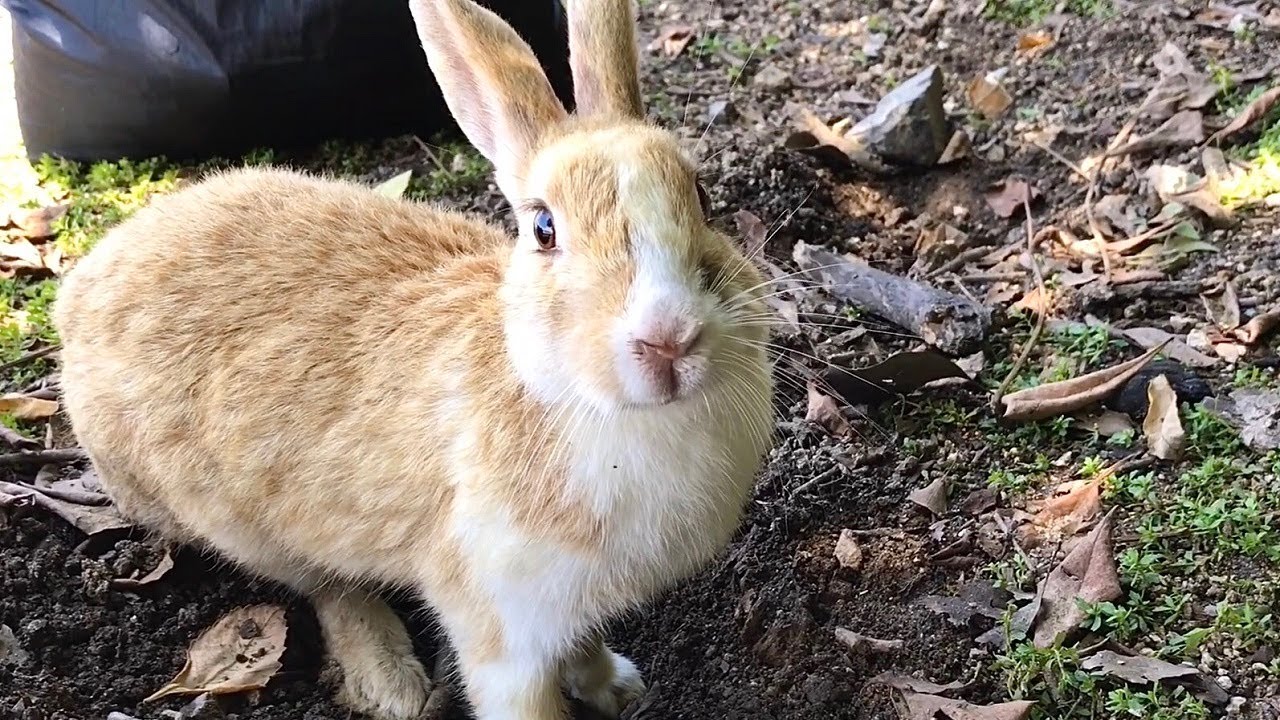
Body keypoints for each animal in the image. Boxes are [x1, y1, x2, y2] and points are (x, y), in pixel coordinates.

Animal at [52, 0, 776, 718]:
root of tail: (82, 286)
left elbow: (585, 643)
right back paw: (391, 681)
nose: (669, 337)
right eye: (544, 229)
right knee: (327, 586)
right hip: (245, 526)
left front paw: (617, 687)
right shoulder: (500, 627)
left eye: (702, 199)